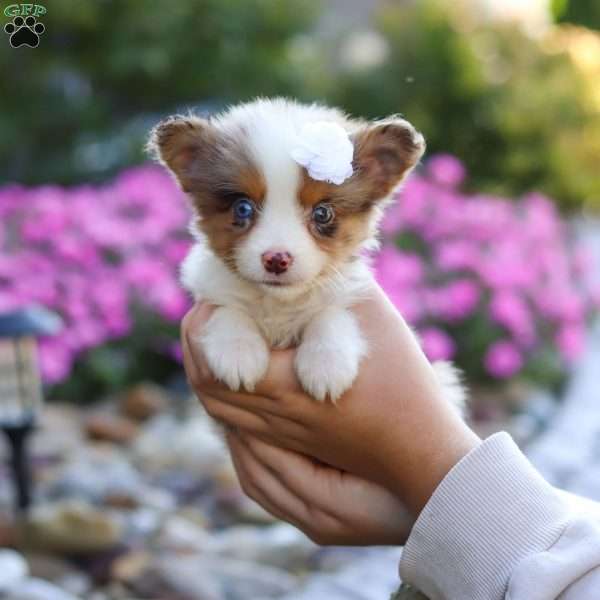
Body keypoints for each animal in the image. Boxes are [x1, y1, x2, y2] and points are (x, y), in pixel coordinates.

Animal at [149, 98, 464, 406]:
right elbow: (227, 309)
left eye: (322, 213)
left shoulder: (345, 294)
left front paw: (327, 363)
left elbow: (330, 316)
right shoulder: (211, 292)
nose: (276, 259)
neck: (278, 304)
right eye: (243, 207)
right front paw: (237, 350)